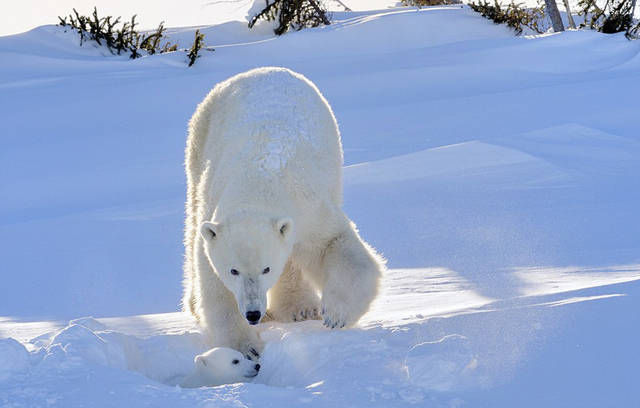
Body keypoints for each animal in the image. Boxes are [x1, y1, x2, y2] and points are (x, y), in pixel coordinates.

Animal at [185, 67, 384, 356]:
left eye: (266, 269)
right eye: (234, 270)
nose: (253, 314)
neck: (258, 183)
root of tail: (261, 70)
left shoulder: (308, 207)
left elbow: (335, 244)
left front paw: (335, 315)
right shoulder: (215, 217)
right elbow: (215, 285)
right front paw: (244, 348)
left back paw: (301, 309)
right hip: (201, 139)